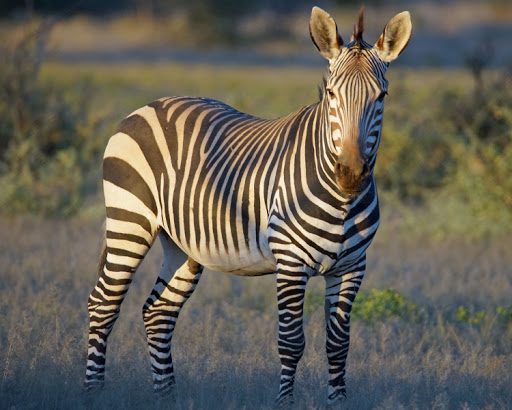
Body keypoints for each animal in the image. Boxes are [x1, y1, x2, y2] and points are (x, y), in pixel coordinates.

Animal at [85, 4, 412, 406]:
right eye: (331, 94)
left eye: (381, 96)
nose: (350, 173)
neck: (341, 202)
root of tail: (149, 106)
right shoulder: (291, 262)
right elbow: (291, 342)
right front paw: (285, 403)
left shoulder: (352, 266)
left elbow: (338, 344)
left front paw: (338, 403)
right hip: (129, 222)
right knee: (103, 304)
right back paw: (92, 393)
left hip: (182, 242)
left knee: (158, 312)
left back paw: (167, 397)